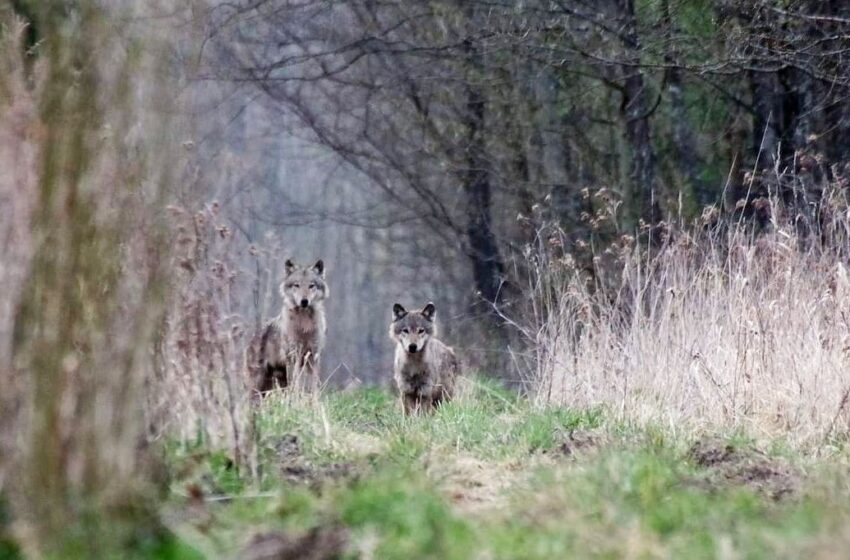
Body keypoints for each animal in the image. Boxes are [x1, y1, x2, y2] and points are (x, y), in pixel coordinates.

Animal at [245, 260, 328, 398]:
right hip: (258, 383)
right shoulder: (293, 356)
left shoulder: (313, 356)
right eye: (296, 285)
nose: (304, 301)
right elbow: (296, 384)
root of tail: (252, 337)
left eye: (311, 286)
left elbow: (314, 386)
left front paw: (314, 401)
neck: (305, 325)